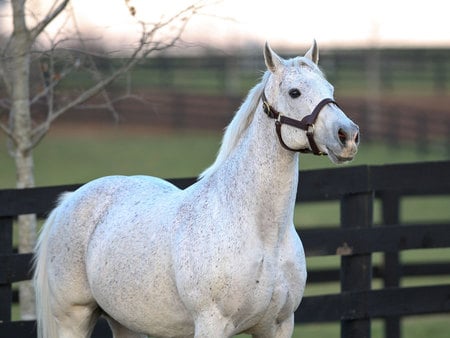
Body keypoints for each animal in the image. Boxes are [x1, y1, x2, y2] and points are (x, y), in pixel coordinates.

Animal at [33, 41, 358, 338]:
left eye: (330, 88)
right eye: (294, 92)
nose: (349, 135)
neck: (263, 234)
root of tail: (69, 201)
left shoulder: (278, 326)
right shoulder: (212, 324)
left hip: (126, 322)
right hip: (73, 319)